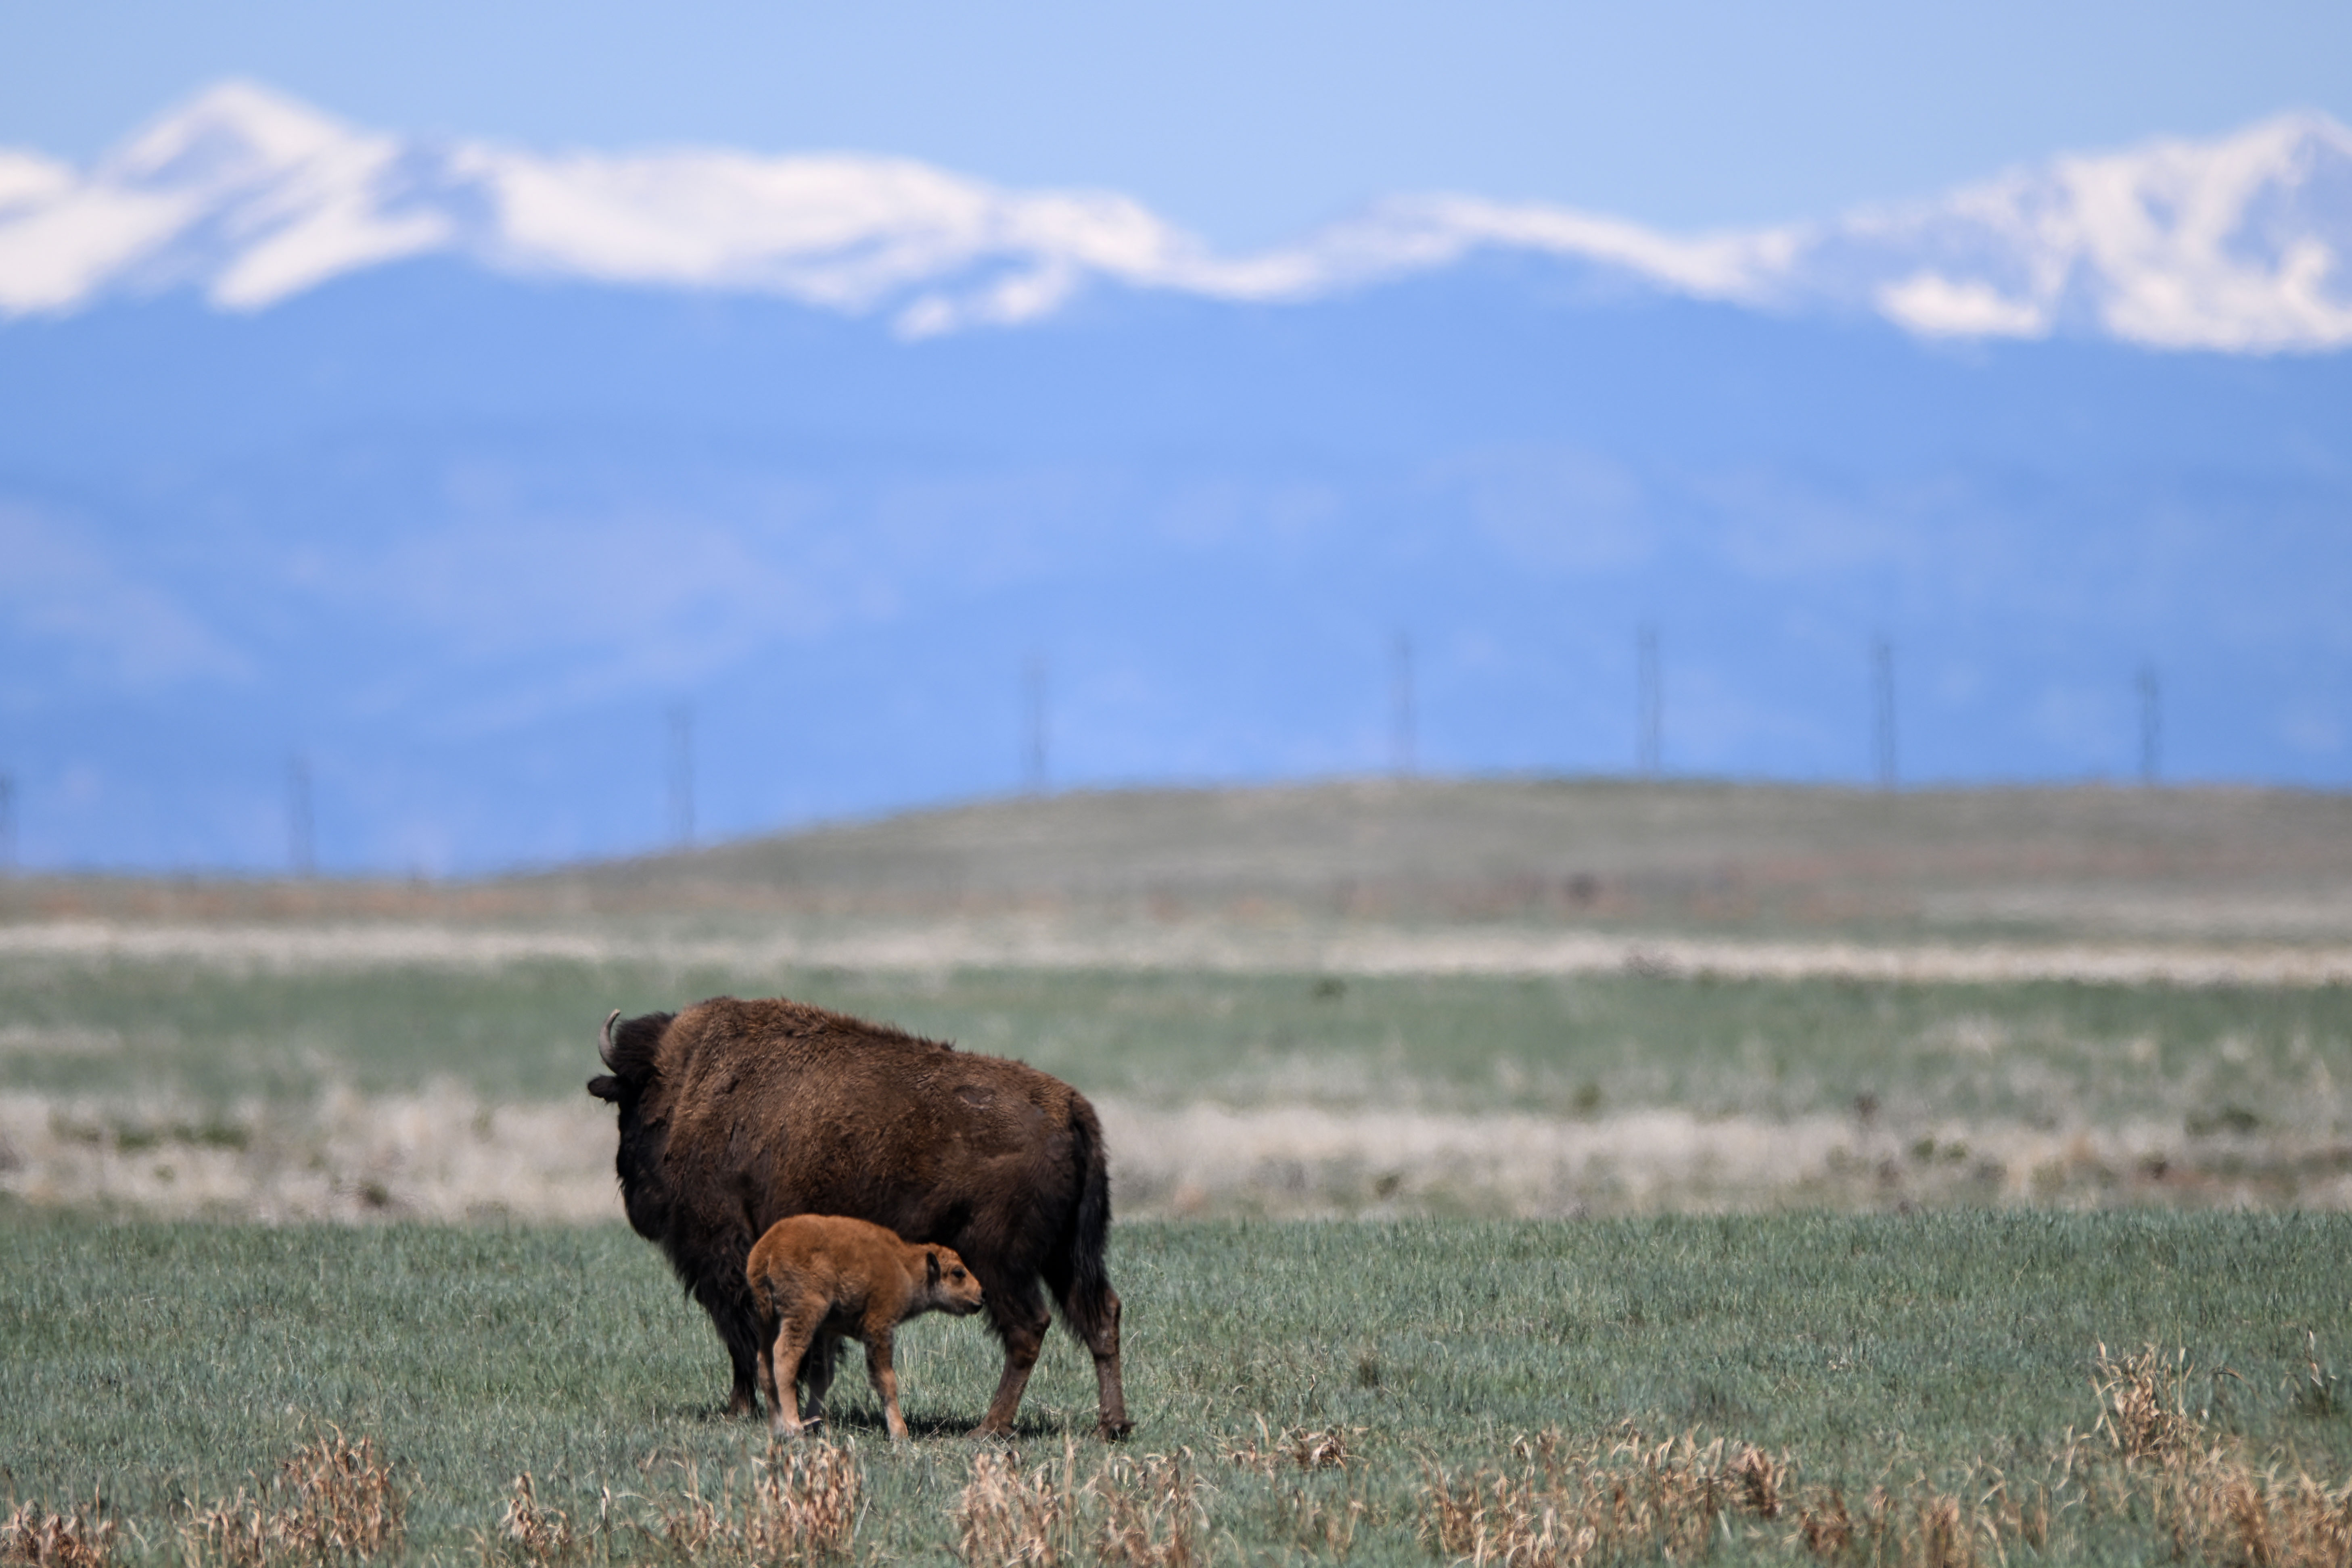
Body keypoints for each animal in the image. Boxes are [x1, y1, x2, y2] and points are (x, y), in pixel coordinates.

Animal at [587, 995, 1132, 1439]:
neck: (687, 1087)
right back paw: (1112, 1426)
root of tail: (1071, 1108)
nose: (628, 1176)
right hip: (1066, 1258)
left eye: (629, 1101)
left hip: (1000, 1264)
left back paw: (988, 1428)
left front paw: (743, 1407)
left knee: (1028, 1329)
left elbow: (743, 1335)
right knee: (1101, 1316)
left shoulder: (724, 1254)